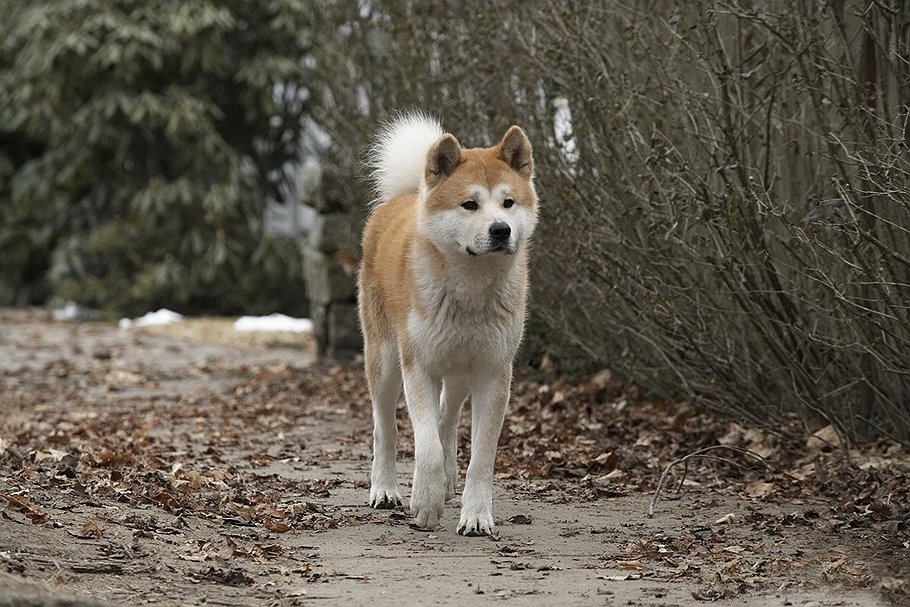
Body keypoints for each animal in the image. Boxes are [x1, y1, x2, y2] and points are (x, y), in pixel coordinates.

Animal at [358, 111, 540, 536]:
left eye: (508, 202)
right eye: (470, 204)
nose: (501, 230)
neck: (471, 289)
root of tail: (405, 197)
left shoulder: (493, 372)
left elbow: (481, 457)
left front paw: (475, 515)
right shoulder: (418, 366)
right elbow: (425, 446)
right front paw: (424, 503)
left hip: (459, 370)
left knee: (447, 416)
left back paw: (447, 479)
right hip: (385, 361)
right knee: (384, 427)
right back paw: (385, 489)